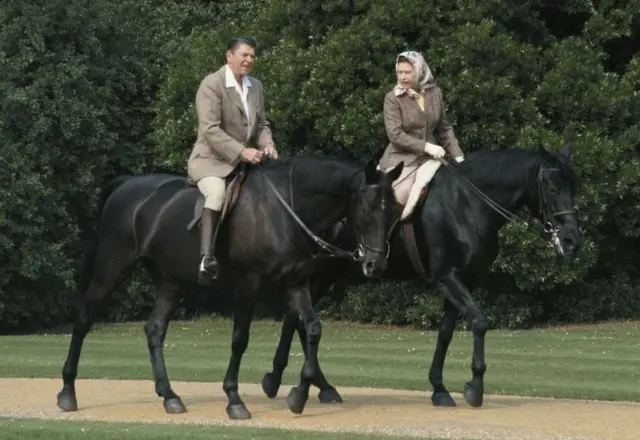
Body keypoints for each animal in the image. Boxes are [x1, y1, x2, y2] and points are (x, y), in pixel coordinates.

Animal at [57, 154, 402, 420]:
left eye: (394, 210)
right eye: (367, 209)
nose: (376, 264)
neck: (285, 211)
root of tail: (127, 185)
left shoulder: (296, 284)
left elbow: (312, 330)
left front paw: (299, 395)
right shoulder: (248, 285)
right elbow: (240, 339)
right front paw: (234, 399)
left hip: (170, 281)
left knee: (154, 329)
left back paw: (169, 395)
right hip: (110, 269)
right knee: (83, 321)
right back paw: (67, 392)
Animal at [258, 145, 580, 410]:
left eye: (574, 186)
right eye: (551, 187)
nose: (572, 240)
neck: (466, 204)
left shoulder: (464, 281)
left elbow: (446, 331)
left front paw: (439, 388)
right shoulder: (447, 277)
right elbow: (478, 321)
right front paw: (475, 386)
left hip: (326, 276)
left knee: (296, 319)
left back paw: (312, 385)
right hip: (320, 274)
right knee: (298, 319)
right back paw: (288, 381)